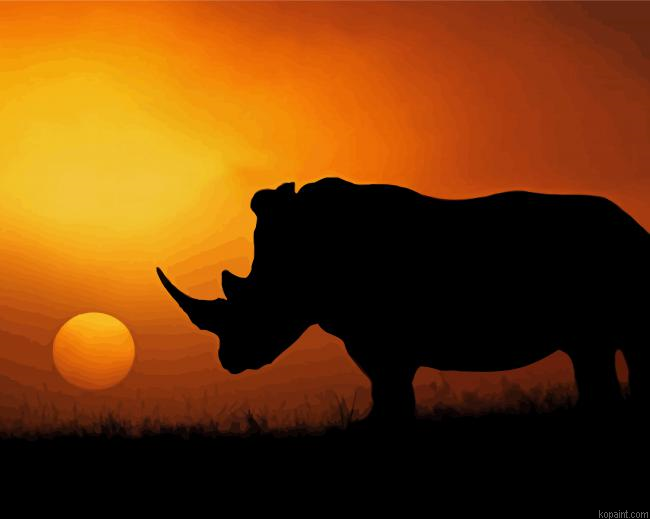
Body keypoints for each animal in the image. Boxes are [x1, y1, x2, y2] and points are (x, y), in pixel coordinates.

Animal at [158, 177, 648, 421]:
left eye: (253, 308)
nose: (230, 361)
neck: (296, 266)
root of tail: (633, 225)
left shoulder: (379, 336)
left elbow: (389, 386)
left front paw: (376, 428)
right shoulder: (373, 336)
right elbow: (389, 388)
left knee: (594, 349)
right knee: (606, 350)